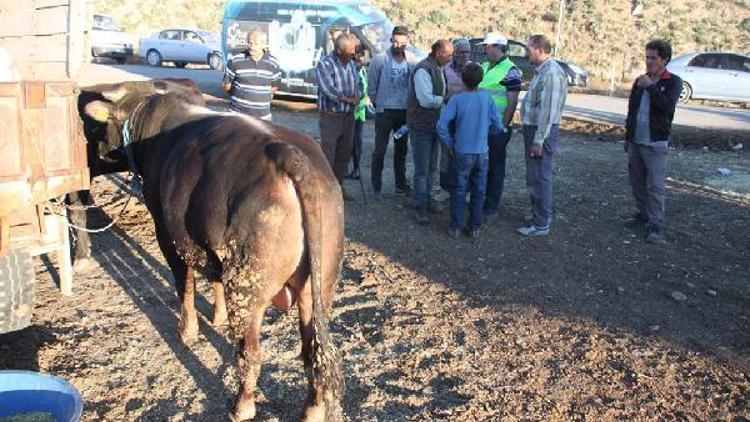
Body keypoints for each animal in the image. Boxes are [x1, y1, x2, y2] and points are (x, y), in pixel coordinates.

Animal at [82, 81, 346, 420]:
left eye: (98, 129)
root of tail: (287, 153)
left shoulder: (168, 235)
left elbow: (185, 284)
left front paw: (187, 331)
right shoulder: (211, 246)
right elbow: (214, 278)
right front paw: (217, 316)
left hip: (247, 286)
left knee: (249, 352)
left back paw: (241, 405)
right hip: (319, 285)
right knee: (313, 351)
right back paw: (311, 411)